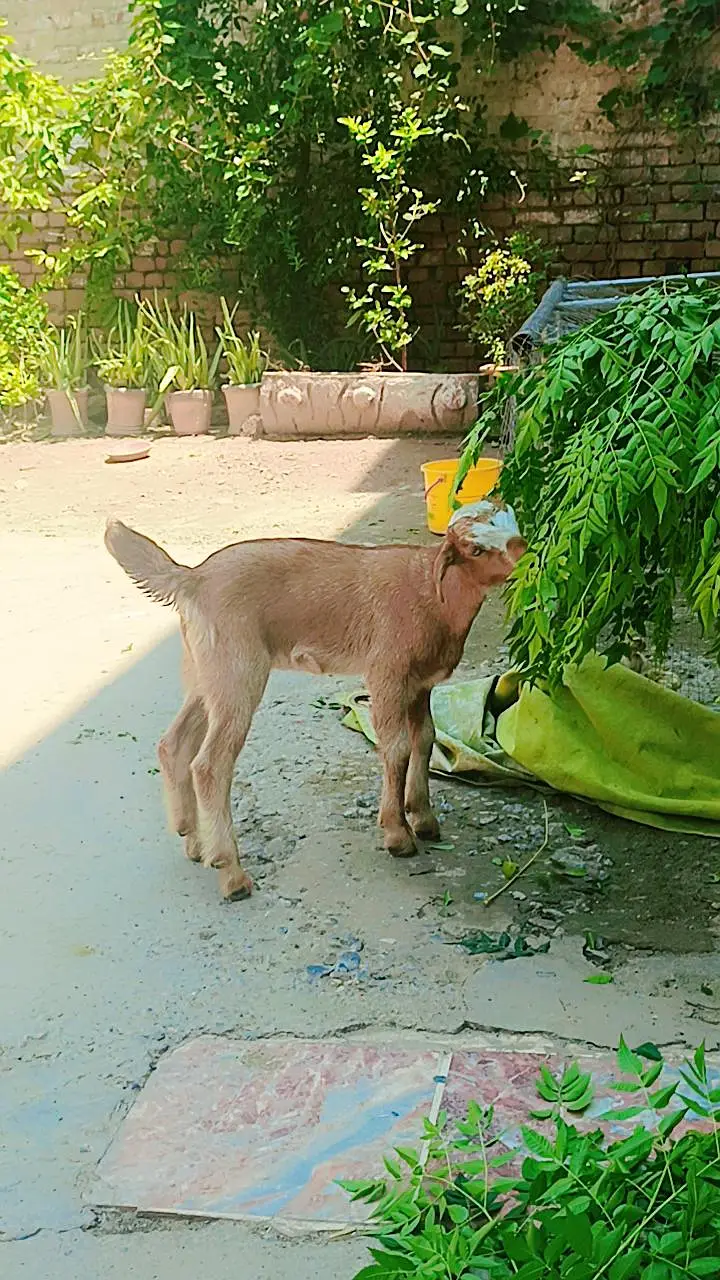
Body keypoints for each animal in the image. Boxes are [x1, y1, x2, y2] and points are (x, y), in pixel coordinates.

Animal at [105, 501, 525, 900]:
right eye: (474, 549)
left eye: (512, 524)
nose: (523, 553)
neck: (431, 592)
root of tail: (193, 578)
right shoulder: (387, 674)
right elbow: (397, 747)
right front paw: (397, 835)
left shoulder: (423, 683)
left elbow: (424, 739)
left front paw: (423, 818)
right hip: (238, 671)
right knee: (210, 765)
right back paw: (231, 873)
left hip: (205, 673)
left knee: (173, 743)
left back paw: (194, 841)